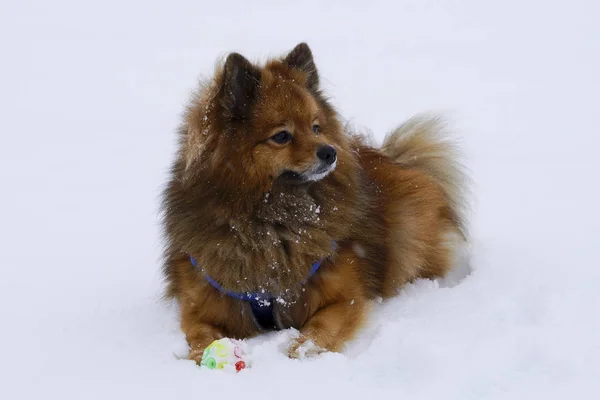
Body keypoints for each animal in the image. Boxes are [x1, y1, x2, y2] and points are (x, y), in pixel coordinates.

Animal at [163, 43, 468, 362]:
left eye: (316, 127)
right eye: (282, 136)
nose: (330, 152)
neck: (273, 221)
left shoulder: (344, 298)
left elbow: (319, 328)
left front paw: (300, 351)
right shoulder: (200, 308)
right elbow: (199, 337)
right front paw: (204, 356)